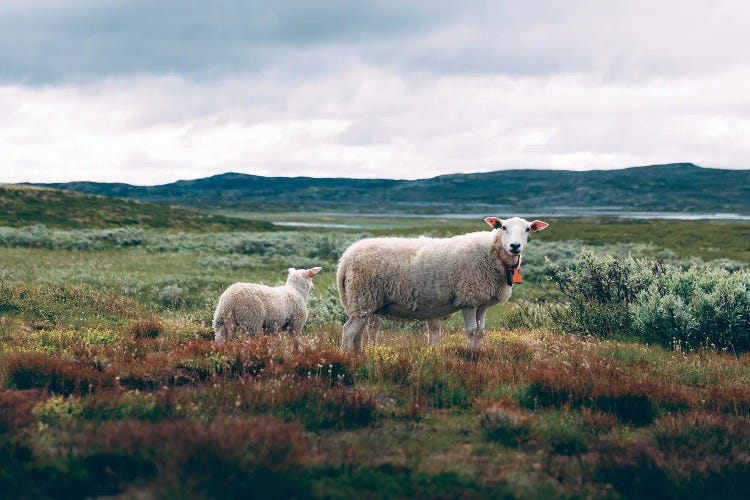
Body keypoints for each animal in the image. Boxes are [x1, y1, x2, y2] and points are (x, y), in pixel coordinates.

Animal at [338, 217, 548, 354]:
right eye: (504, 227)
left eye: (527, 229)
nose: (515, 246)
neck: (493, 254)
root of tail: (345, 258)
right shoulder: (469, 299)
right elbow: (471, 330)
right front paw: (469, 356)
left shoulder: (482, 303)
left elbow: (480, 331)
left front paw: (477, 355)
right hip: (363, 297)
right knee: (349, 331)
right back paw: (346, 357)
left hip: (365, 304)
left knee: (358, 332)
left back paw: (359, 356)